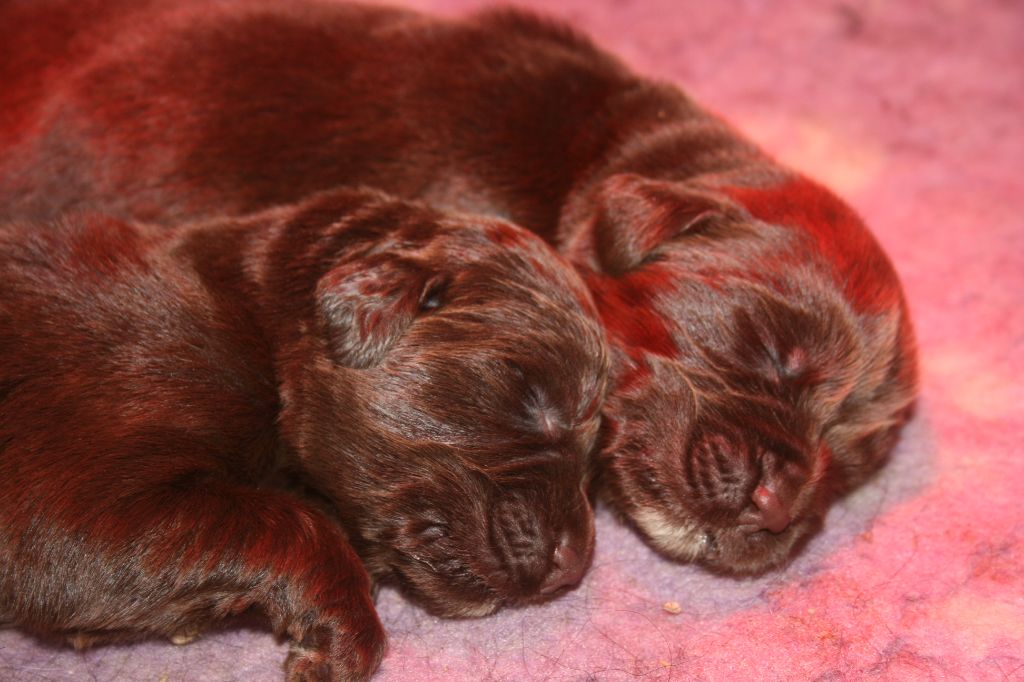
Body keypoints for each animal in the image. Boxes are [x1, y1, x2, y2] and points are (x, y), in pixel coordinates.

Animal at [0, 187, 608, 680]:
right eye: (532, 395)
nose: (572, 568)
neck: (255, 315)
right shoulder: (75, 505)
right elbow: (298, 523)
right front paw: (342, 636)